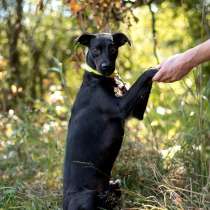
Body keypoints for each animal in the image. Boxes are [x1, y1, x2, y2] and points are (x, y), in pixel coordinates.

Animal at [63, 32, 157, 210]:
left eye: (113, 48)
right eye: (95, 50)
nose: (106, 67)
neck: (98, 79)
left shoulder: (136, 112)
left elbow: (144, 86)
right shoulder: (120, 107)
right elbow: (143, 77)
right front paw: (154, 69)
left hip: (115, 185)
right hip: (88, 196)